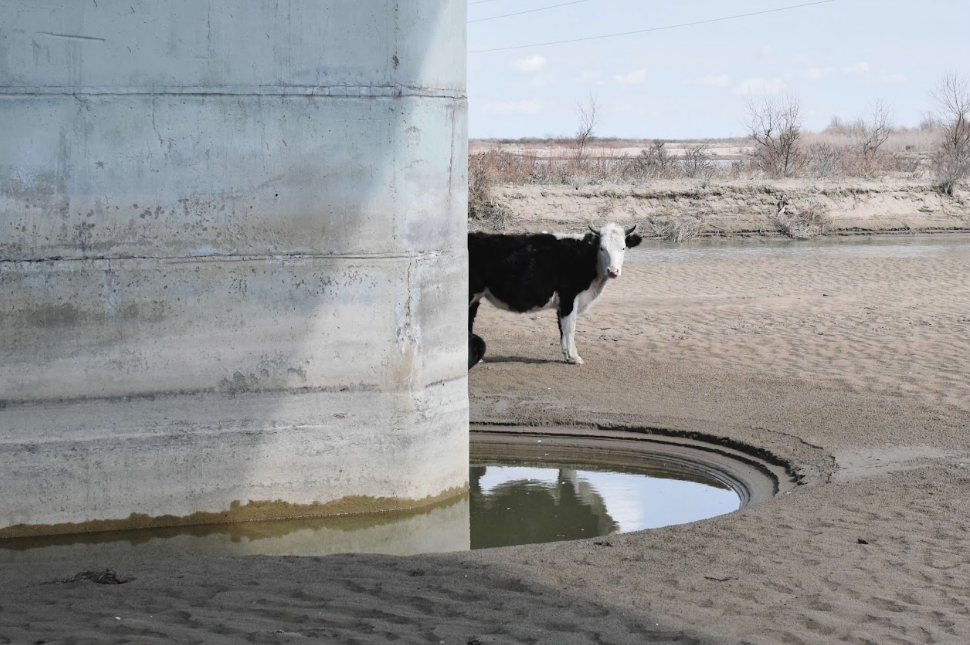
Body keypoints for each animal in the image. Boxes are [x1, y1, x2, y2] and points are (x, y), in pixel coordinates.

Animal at [468, 222, 642, 364]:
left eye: (623, 248)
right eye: (602, 248)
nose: (613, 271)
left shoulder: (562, 304)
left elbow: (562, 328)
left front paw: (567, 355)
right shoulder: (569, 297)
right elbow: (570, 327)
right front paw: (575, 357)